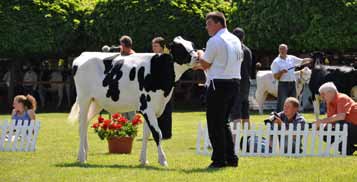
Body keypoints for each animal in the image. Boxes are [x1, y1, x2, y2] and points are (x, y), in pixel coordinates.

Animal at [68, 36, 196, 166]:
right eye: (179, 47)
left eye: (192, 45)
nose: (196, 57)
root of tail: (84, 54)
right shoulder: (147, 107)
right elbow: (157, 133)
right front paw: (163, 160)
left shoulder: (156, 108)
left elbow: (146, 134)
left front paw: (144, 160)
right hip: (84, 98)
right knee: (82, 124)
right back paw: (82, 157)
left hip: (96, 102)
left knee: (84, 123)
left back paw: (83, 154)